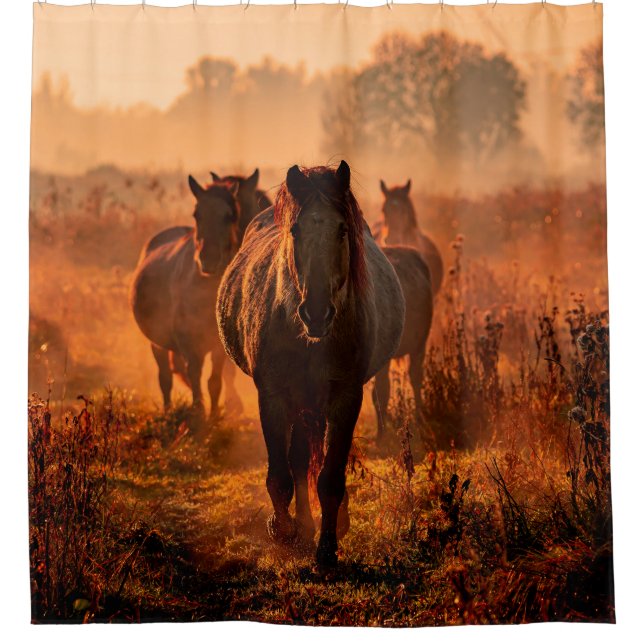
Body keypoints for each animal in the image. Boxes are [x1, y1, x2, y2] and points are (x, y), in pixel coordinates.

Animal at [130, 175, 242, 421]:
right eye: (197, 214)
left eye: (229, 215)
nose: (208, 260)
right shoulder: (190, 342)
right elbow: (195, 375)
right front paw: (198, 413)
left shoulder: (218, 346)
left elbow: (214, 381)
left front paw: (213, 416)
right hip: (157, 342)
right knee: (165, 377)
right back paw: (168, 410)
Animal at [217, 161, 405, 566]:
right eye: (296, 230)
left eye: (343, 229)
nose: (316, 313)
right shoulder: (272, 397)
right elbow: (281, 475)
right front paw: (283, 530)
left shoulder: (346, 398)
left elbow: (331, 477)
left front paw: (327, 546)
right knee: (299, 461)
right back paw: (299, 527)